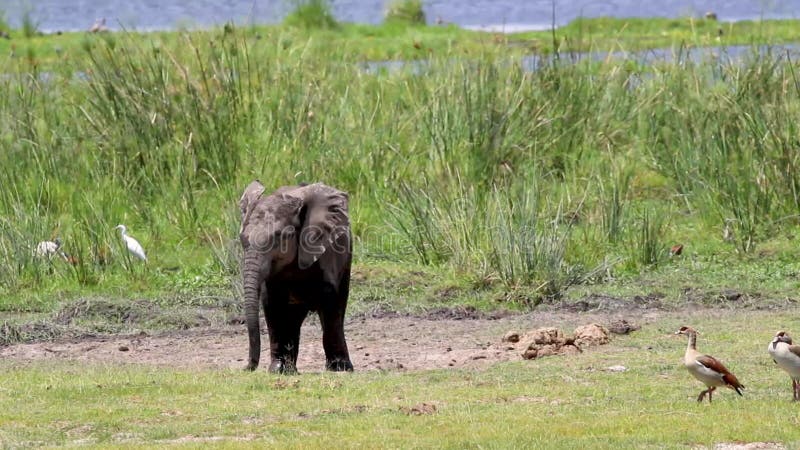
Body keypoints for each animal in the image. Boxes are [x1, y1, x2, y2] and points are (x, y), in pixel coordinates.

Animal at [239, 179, 354, 372]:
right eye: (242, 239)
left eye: (280, 236)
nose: (247, 367)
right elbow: (272, 304)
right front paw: (277, 370)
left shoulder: (326, 249)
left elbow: (329, 298)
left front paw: (339, 369)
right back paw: (290, 369)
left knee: (339, 304)